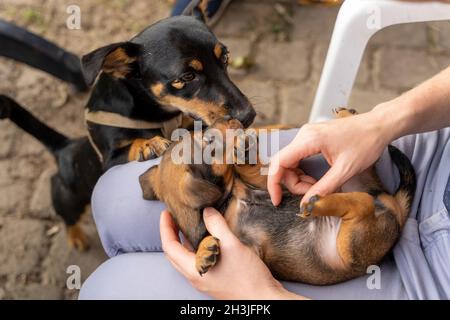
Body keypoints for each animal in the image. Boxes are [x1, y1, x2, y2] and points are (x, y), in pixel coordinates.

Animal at [0, 0, 255, 250]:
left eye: (225, 57)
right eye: (186, 77)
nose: (248, 115)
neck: (160, 116)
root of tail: (65, 146)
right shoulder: (109, 162)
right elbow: (133, 146)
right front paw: (147, 144)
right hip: (69, 197)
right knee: (65, 210)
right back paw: (75, 236)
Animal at [140, 109, 414, 284]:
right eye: (208, 140)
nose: (228, 117)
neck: (227, 203)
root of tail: (392, 207)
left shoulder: (269, 188)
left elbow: (251, 168)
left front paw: (244, 150)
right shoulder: (251, 252)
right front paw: (203, 252)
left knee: (363, 196)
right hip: (350, 237)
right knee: (363, 200)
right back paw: (318, 202)